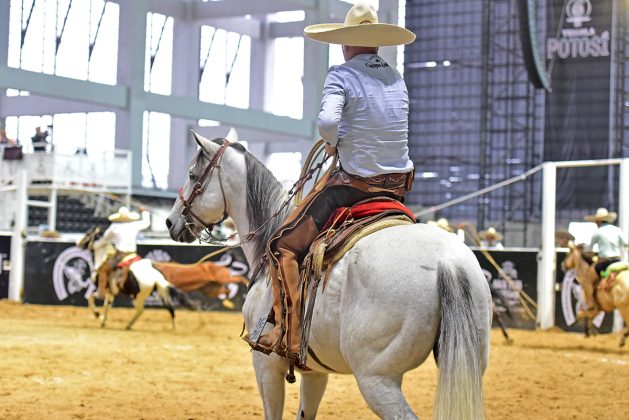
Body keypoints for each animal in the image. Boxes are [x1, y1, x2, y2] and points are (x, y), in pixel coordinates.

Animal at [166, 134, 490, 420]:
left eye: (193, 175)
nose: (171, 221)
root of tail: (448, 261)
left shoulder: (265, 365)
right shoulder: (315, 372)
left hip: (376, 379)